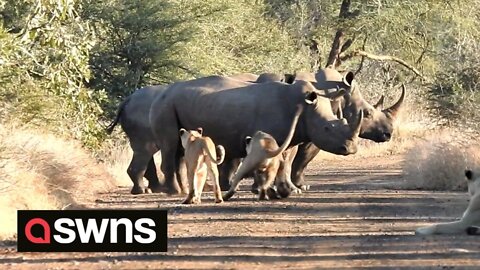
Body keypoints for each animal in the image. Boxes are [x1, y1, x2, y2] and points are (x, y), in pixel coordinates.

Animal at [148, 75, 362, 195]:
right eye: (327, 129)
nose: (350, 148)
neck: (304, 106)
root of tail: (161, 92)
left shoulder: (293, 137)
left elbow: (287, 162)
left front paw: (293, 190)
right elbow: (279, 161)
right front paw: (264, 189)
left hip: (174, 104)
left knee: (180, 150)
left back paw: (183, 189)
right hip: (164, 105)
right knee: (170, 146)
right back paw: (174, 192)